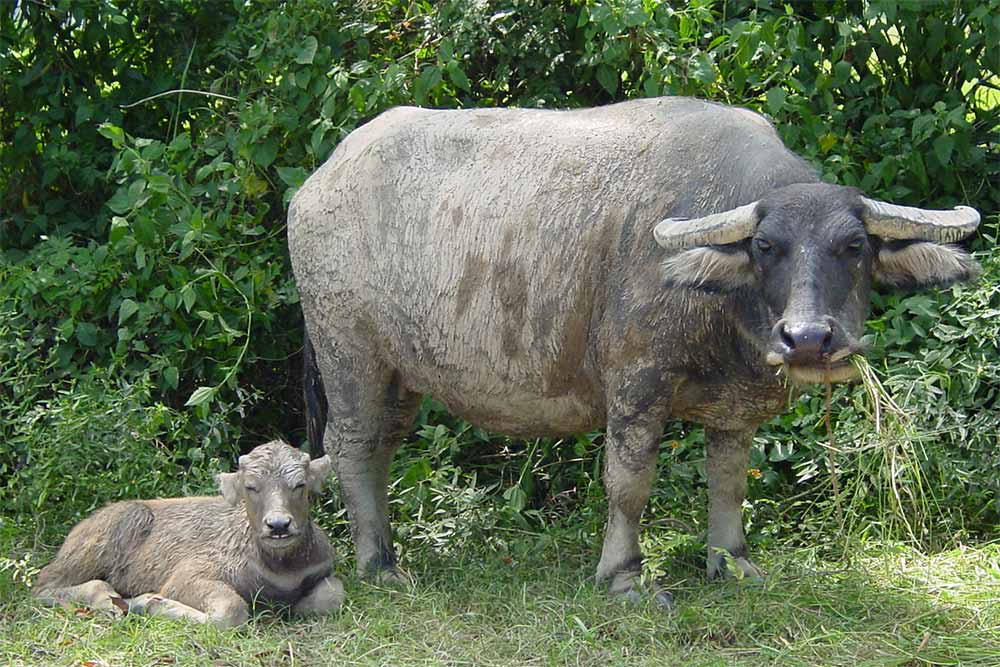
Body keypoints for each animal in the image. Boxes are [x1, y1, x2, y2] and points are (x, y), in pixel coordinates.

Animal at [288, 99, 976, 604]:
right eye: (766, 247)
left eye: (854, 246)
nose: (807, 338)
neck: (720, 307)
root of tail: (318, 183)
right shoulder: (638, 384)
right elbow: (629, 482)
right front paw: (624, 577)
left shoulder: (737, 406)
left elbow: (729, 481)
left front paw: (732, 562)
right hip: (349, 353)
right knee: (351, 446)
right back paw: (377, 564)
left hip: (402, 374)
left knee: (382, 446)